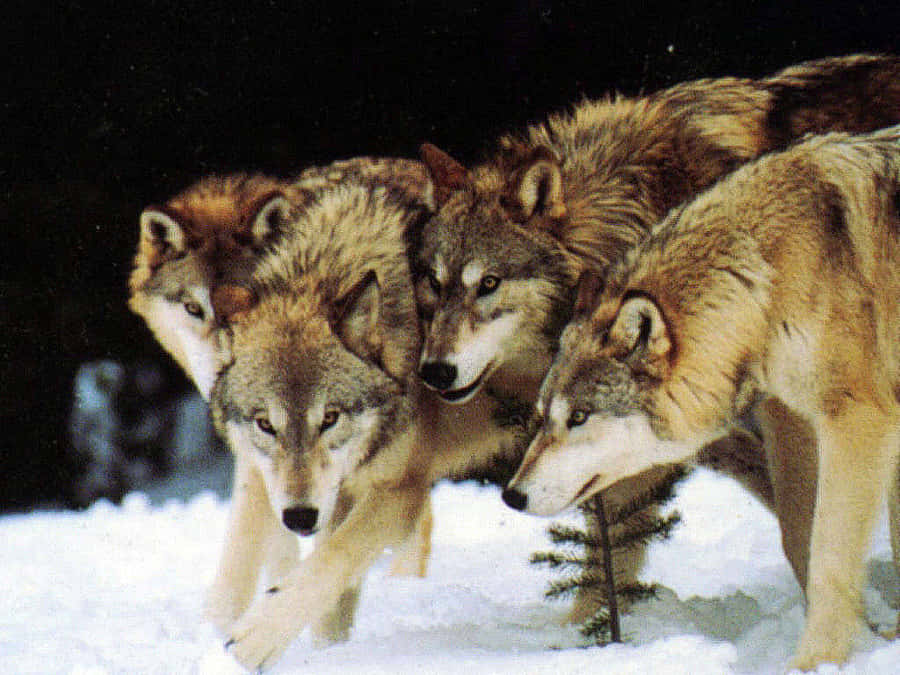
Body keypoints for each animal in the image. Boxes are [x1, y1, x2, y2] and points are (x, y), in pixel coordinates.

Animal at [505, 126, 900, 670]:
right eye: (544, 416)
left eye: (580, 416)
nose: (511, 495)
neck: (769, 275)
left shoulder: (856, 420)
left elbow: (828, 558)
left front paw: (813, 663)